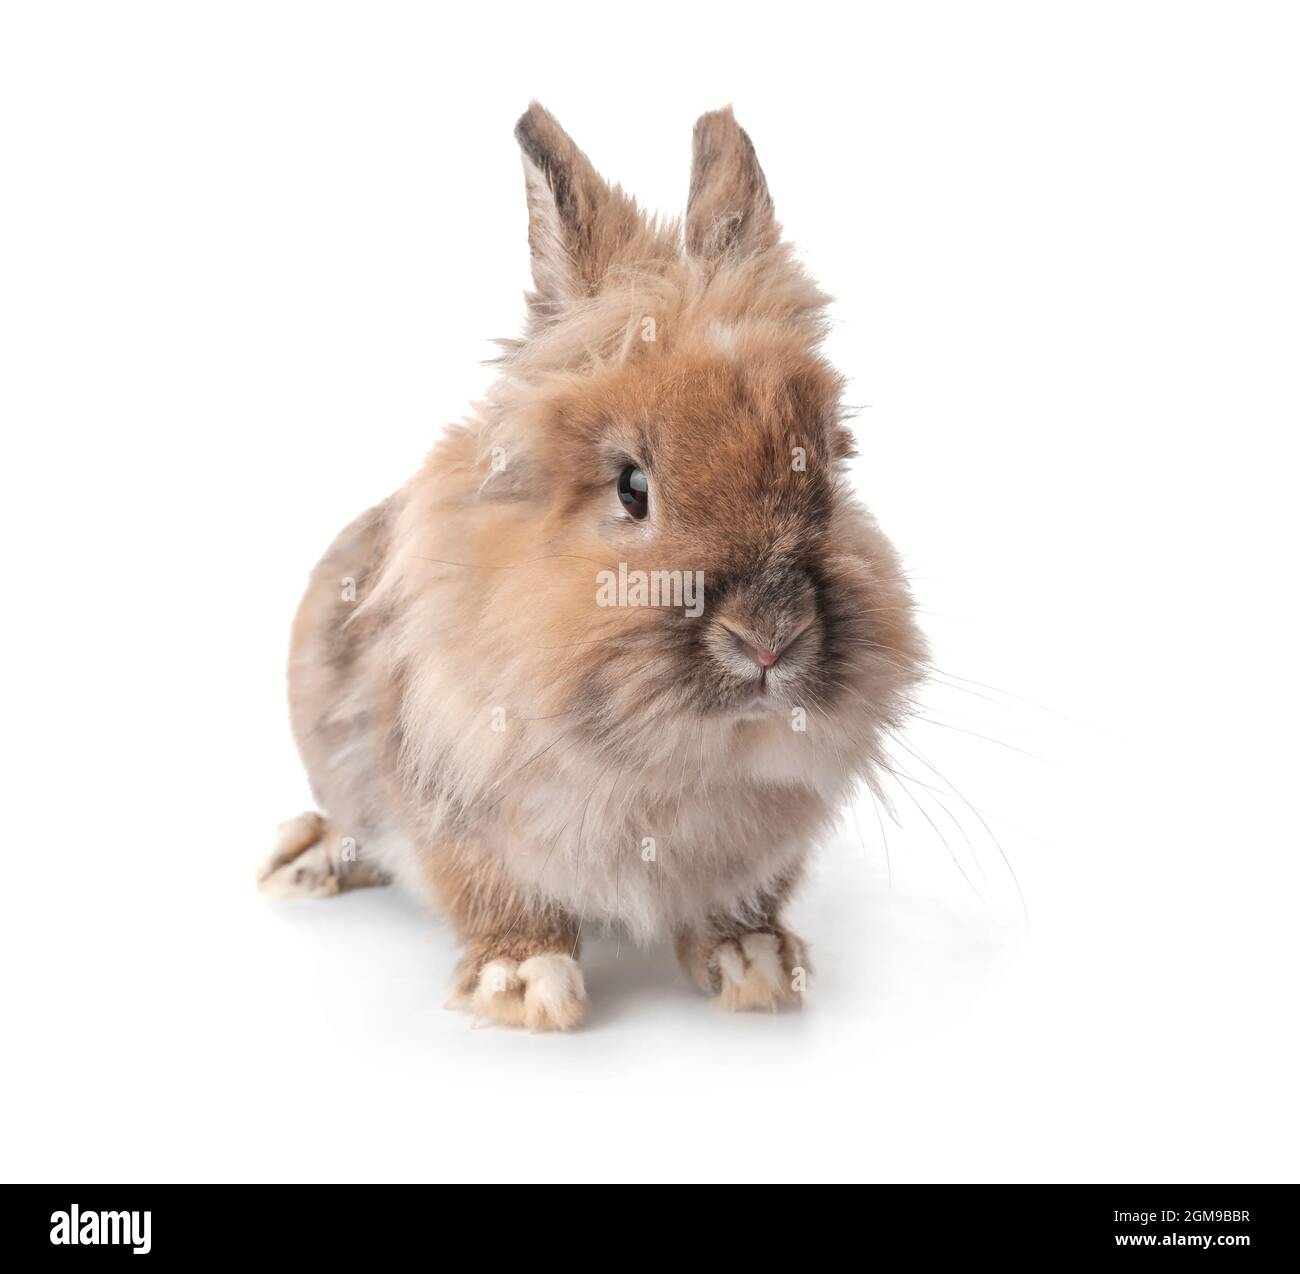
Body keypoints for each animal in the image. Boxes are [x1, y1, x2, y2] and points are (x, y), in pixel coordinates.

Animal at [259, 103, 926, 1031]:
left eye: (827, 462)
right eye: (632, 487)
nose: (769, 639)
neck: (672, 758)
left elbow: (743, 903)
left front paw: (755, 961)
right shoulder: (456, 806)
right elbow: (493, 894)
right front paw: (523, 985)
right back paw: (306, 861)